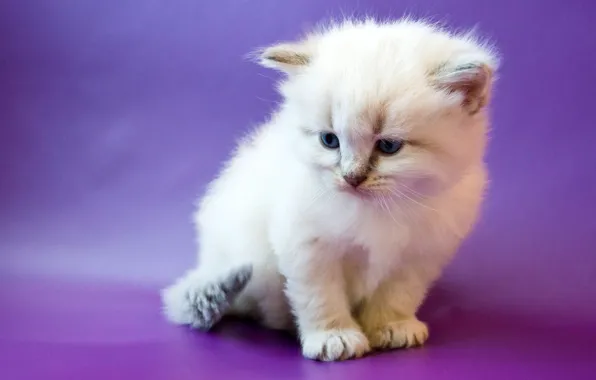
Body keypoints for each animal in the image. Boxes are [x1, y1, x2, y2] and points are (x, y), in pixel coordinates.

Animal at [162, 17, 498, 360]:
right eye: (329, 140)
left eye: (389, 146)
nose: (351, 177)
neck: (379, 209)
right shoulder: (308, 247)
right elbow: (321, 298)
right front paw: (334, 337)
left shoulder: (417, 256)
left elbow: (395, 297)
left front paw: (391, 328)